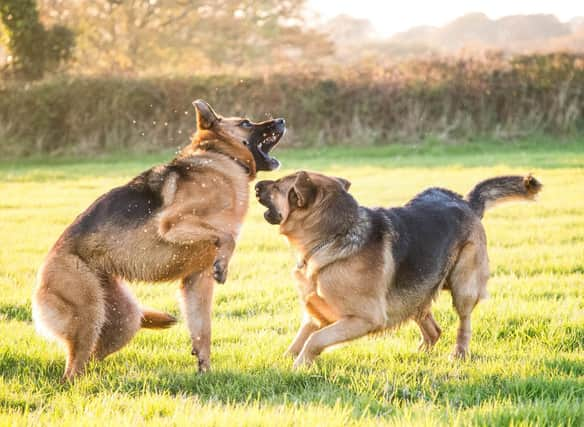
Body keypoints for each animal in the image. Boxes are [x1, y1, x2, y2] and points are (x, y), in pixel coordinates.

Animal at [33, 100, 286, 382]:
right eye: (245, 123)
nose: (282, 120)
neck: (220, 157)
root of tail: (45, 268)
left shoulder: (196, 281)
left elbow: (203, 332)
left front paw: (205, 372)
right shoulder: (172, 224)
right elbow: (227, 237)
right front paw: (223, 265)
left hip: (124, 320)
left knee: (91, 359)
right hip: (88, 314)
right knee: (73, 370)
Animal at [256, 171, 544, 368]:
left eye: (278, 185)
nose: (257, 184)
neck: (335, 235)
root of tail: (466, 202)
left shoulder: (363, 319)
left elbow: (315, 339)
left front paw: (299, 366)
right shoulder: (315, 314)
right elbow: (299, 340)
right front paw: (285, 363)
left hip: (463, 287)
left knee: (464, 323)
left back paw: (458, 354)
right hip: (414, 293)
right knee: (433, 330)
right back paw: (420, 355)